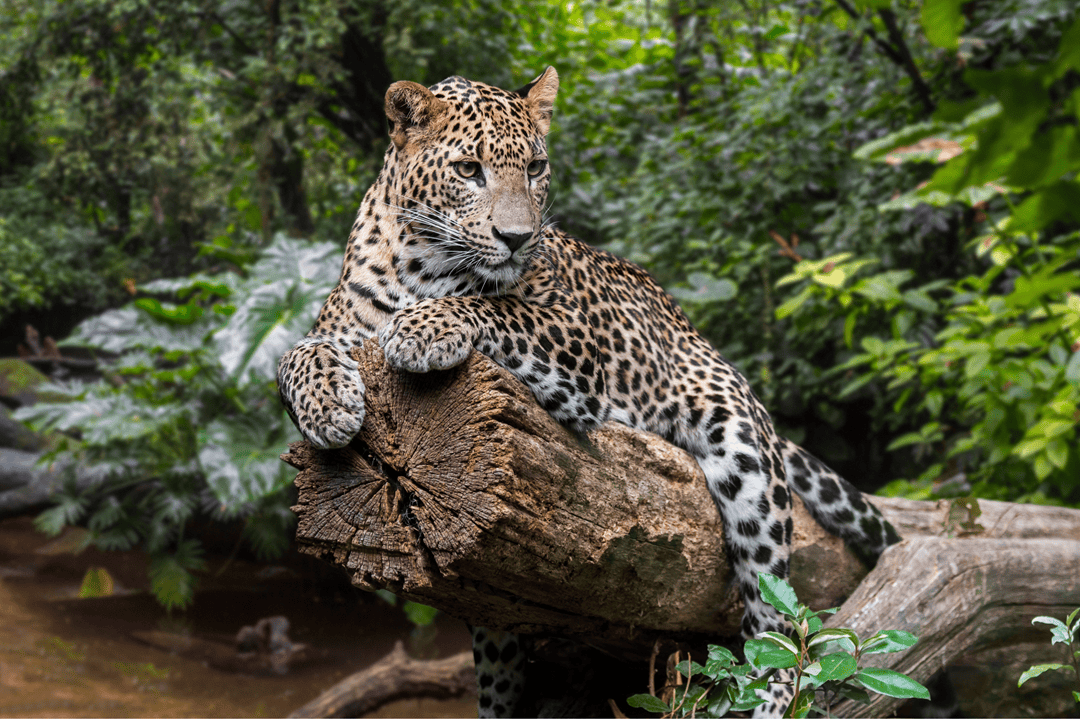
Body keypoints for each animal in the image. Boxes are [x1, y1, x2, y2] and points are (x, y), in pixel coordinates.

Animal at [274, 65, 898, 712]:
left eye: (535, 168)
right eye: (468, 170)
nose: (517, 237)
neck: (421, 265)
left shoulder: (573, 338)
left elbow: (495, 307)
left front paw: (423, 329)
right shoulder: (338, 328)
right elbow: (295, 354)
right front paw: (327, 407)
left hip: (745, 455)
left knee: (776, 621)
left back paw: (769, 697)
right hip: (493, 607)